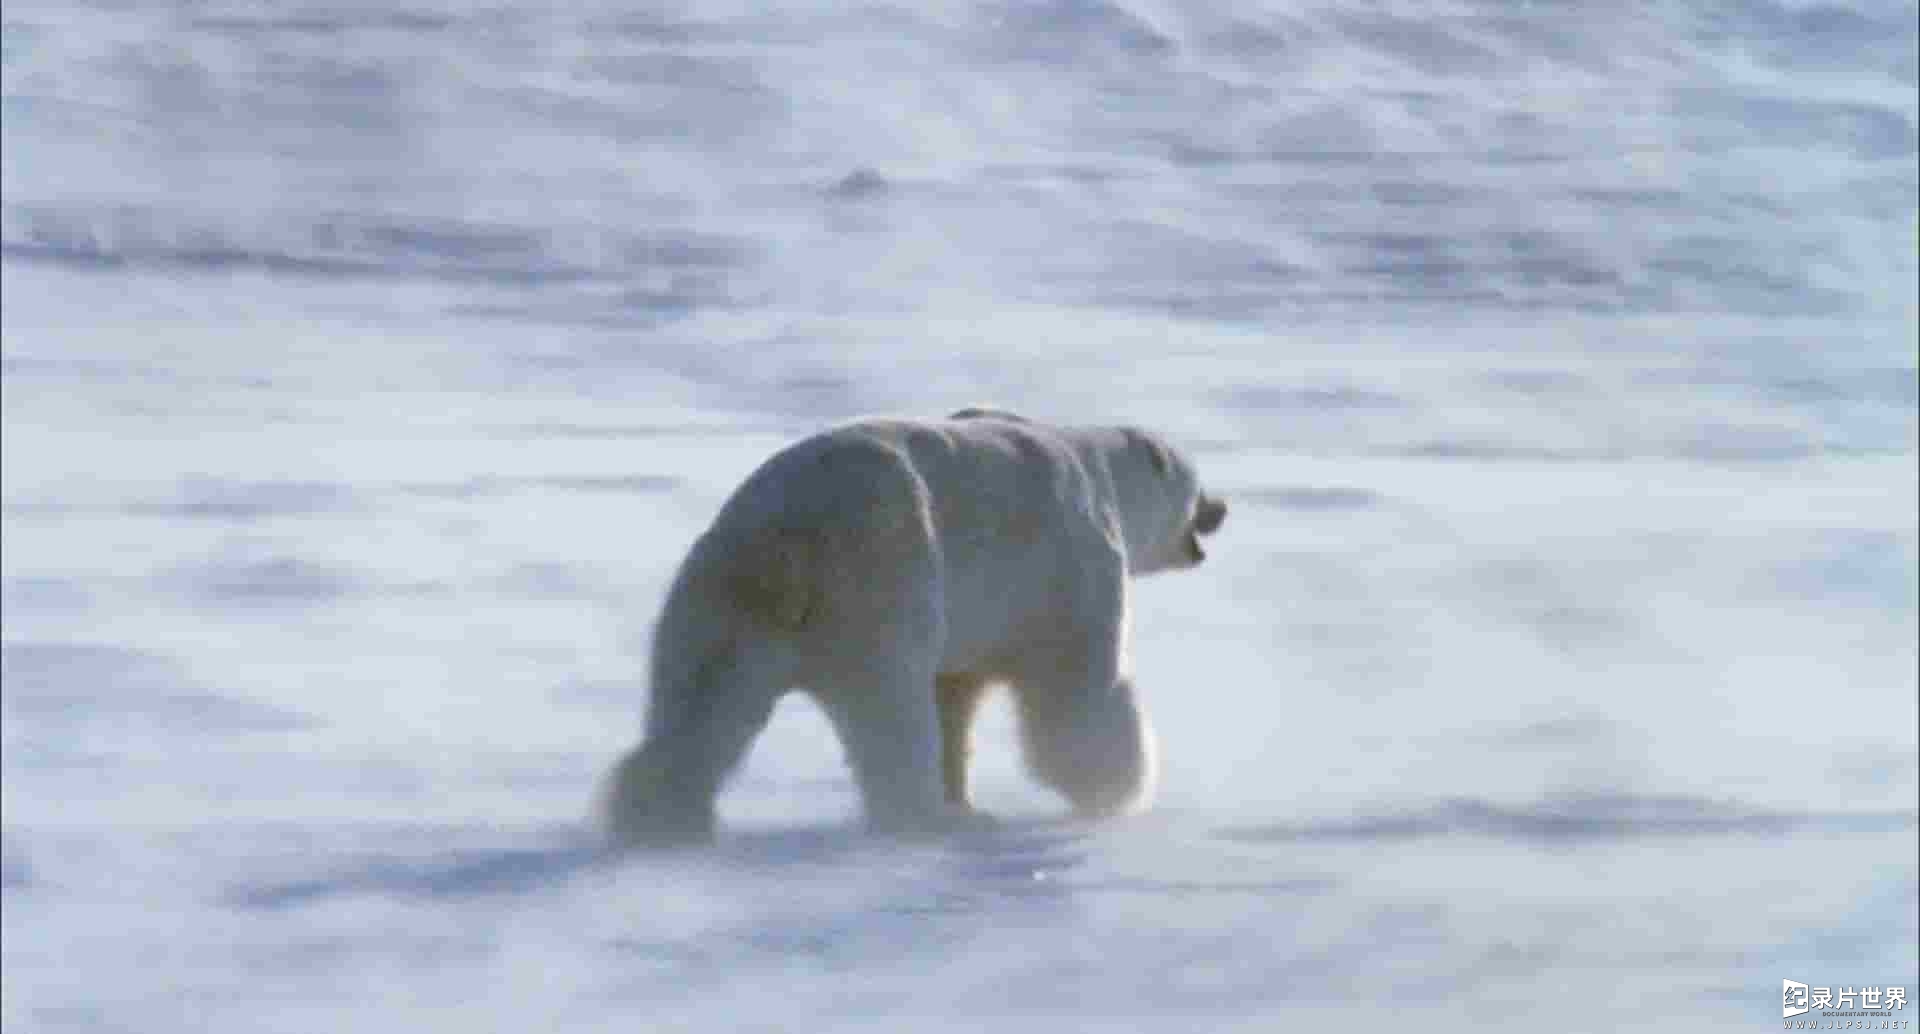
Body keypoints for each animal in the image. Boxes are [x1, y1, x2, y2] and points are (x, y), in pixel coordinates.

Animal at [602, 408, 1228, 844]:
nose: (1221, 508)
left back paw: (660, 819)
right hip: (883, 585)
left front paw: (967, 797)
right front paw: (1115, 791)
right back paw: (924, 817)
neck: (1099, 470)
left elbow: (956, 693)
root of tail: (787, 539)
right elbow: (1078, 688)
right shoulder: (1072, 564)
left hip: (721, 601)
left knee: (703, 708)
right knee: (890, 715)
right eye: (1197, 484)